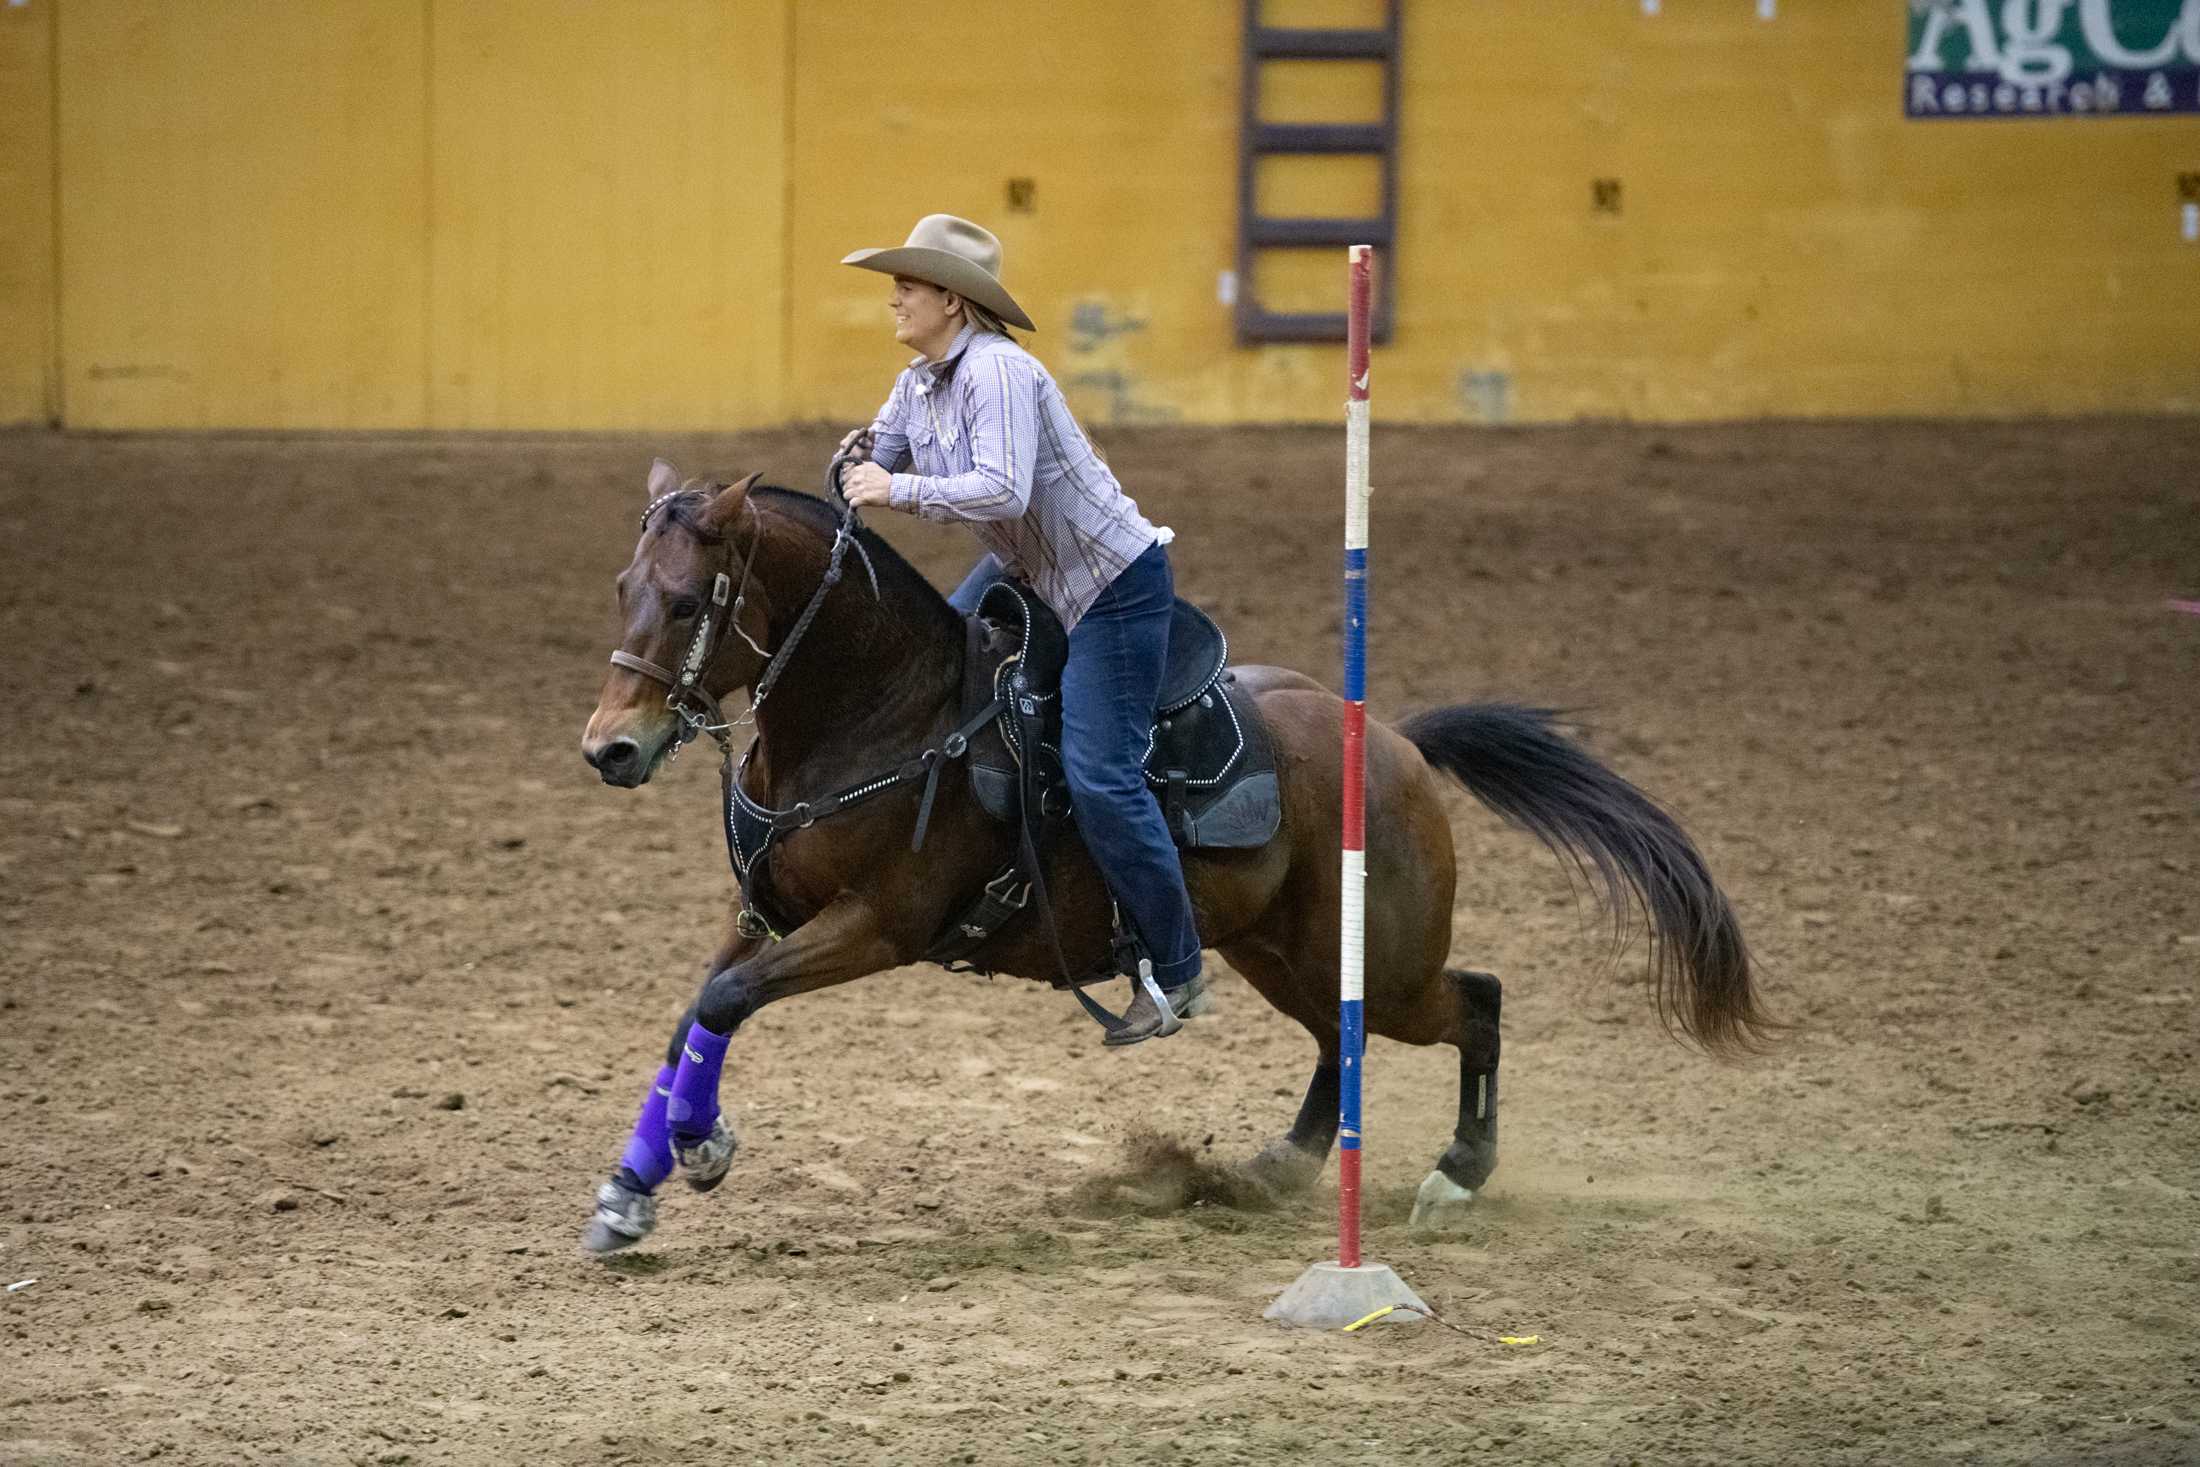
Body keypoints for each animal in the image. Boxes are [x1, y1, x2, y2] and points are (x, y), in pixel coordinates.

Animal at [572, 459, 1768, 1249]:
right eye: (621, 590)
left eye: (688, 599)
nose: (609, 748)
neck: (886, 716)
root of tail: (1392, 739)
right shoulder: (764, 912)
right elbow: (696, 1009)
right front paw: (633, 1186)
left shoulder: (876, 925)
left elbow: (725, 1001)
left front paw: (700, 1150)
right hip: (1282, 952)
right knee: (1342, 1038)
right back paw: (1282, 1165)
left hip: (1379, 960)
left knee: (1475, 1000)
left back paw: (1455, 1176)